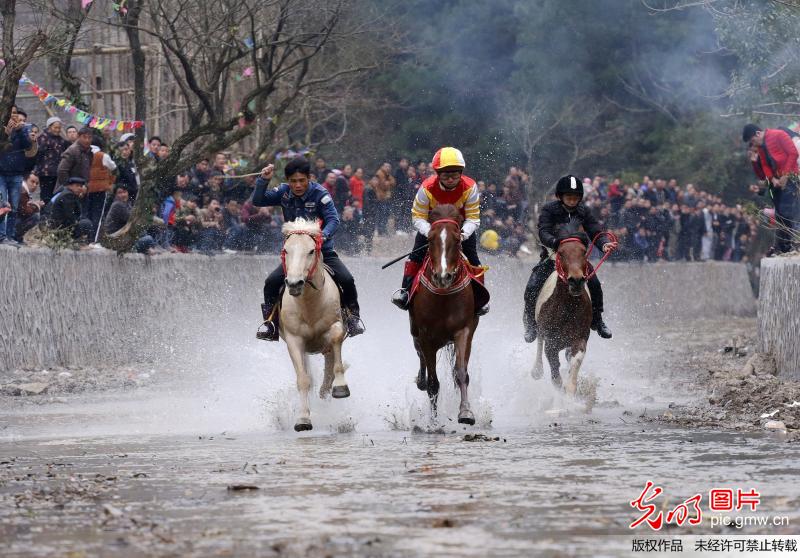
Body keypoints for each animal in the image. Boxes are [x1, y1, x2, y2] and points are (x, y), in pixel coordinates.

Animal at [280, 219, 348, 434]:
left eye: (311, 251)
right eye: (286, 250)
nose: (294, 283)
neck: (309, 303)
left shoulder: (336, 327)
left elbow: (336, 340)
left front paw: (341, 388)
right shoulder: (294, 340)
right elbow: (303, 379)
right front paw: (303, 419)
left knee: (329, 369)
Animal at [406, 205, 488, 424]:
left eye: (458, 240)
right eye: (429, 239)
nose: (443, 276)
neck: (443, 298)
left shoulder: (464, 331)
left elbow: (460, 373)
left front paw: (466, 412)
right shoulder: (426, 336)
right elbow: (433, 383)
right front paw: (433, 423)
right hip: (415, 332)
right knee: (420, 356)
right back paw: (420, 380)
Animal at [532, 230, 592, 396]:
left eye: (583, 252)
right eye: (561, 252)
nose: (576, 281)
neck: (567, 309)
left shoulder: (579, 338)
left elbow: (575, 360)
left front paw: (570, 391)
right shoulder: (551, 342)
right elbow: (555, 373)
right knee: (539, 341)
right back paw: (537, 370)